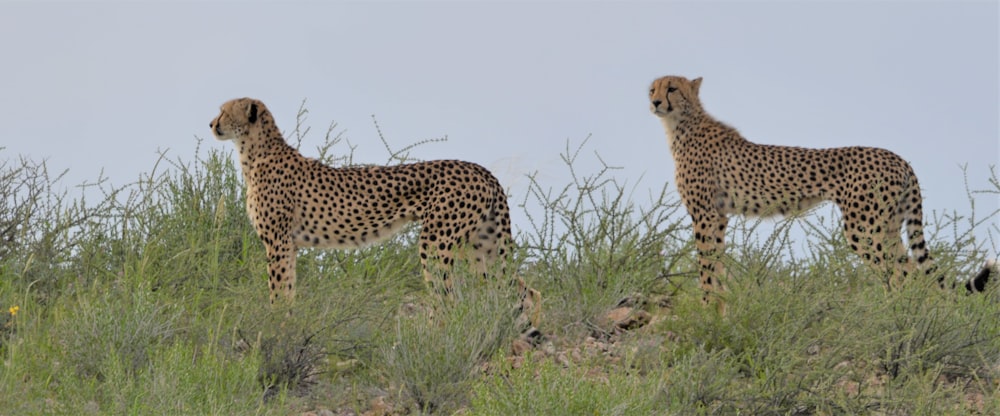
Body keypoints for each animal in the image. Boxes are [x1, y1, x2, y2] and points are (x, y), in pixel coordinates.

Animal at [209, 97, 540, 324]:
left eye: (224, 111)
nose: (211, 124)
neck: (255, 152)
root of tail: (481, 169)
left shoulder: (277, 242)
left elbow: (278, 289)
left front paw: (275, 324)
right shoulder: (289, 244)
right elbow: (288, 288)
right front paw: (287, 322)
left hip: (436, 242)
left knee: (449, 299)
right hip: (483, 245)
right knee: (524, 291)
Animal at [648, 75, 992, 308]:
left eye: (672, 88)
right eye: (653, 88)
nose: (654, 102)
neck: (682, 123)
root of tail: (898, 158)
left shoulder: (704, 215)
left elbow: (706, 266)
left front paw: (707, 309)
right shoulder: (718, 216)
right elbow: (716, 263)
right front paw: (720, 308)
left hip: (862, 229)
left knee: (898, 273)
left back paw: (891, 314)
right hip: (888, 226)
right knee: (910, 269)